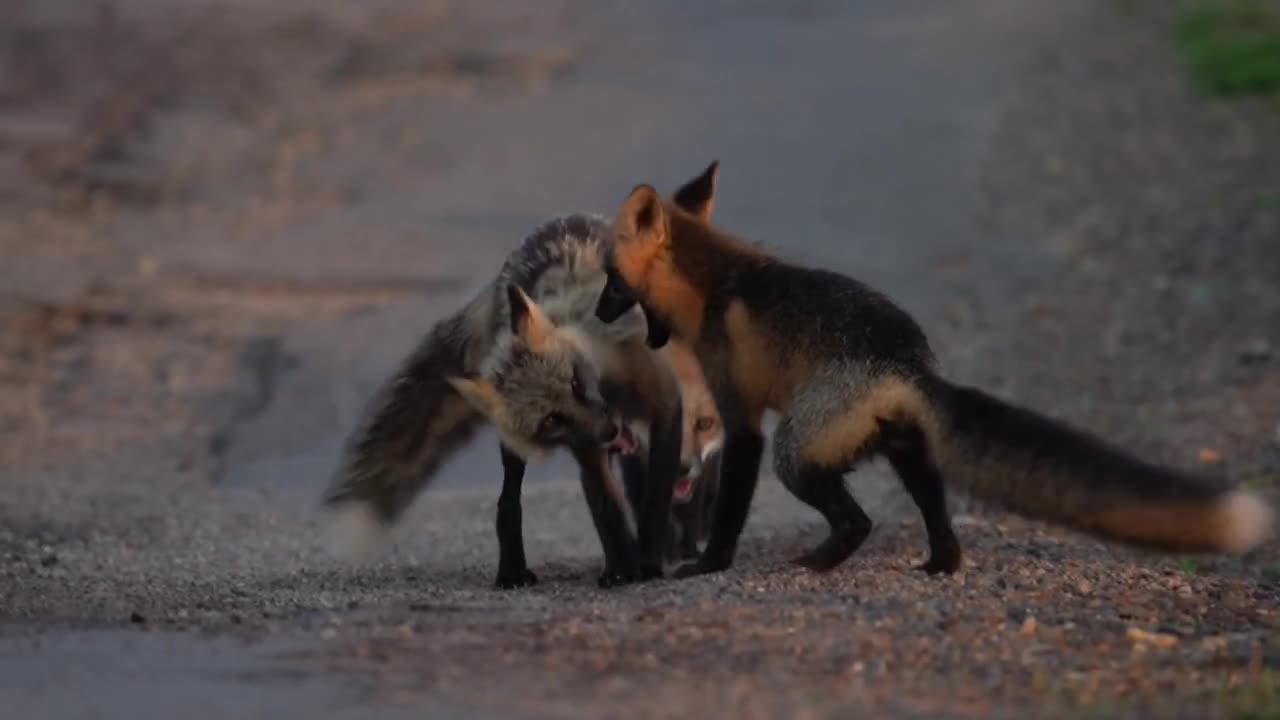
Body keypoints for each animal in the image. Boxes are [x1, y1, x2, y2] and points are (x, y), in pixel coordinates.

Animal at [320, 211, 686, 584]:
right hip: (514, 451)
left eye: (575, 382)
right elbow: (607, 510)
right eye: (551, 419)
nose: (609, 431)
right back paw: (512, 569)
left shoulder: (665, 403)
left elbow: (655, 496)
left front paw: (649, 559)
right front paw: (623, 568)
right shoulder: (586, 446)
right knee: (507, 501)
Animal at [616, 335, 727, 561]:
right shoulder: (634, 469)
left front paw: (689, 549)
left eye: (704, 424)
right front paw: (662, 551)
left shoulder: (701, 477)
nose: (681, 468)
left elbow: (692, 513)